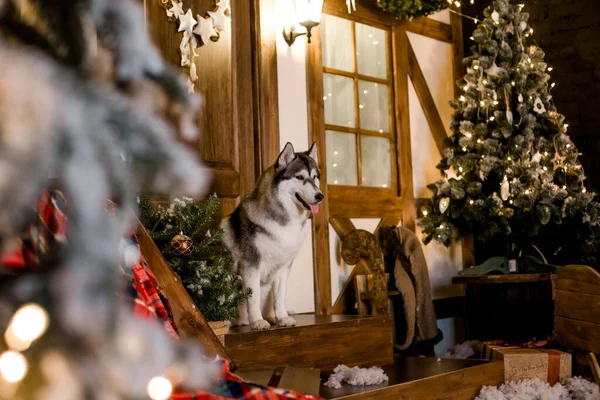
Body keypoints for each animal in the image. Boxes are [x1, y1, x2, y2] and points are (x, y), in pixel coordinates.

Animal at [221, 142, 324, 330]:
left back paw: (269, 317)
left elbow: (280, 296)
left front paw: (283, 317)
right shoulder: (251, 266)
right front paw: (257, 321)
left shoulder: (284, 266)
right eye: (299, 177)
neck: (285, 220)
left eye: (314, 177)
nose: (320, 196)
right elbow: (252, 298)